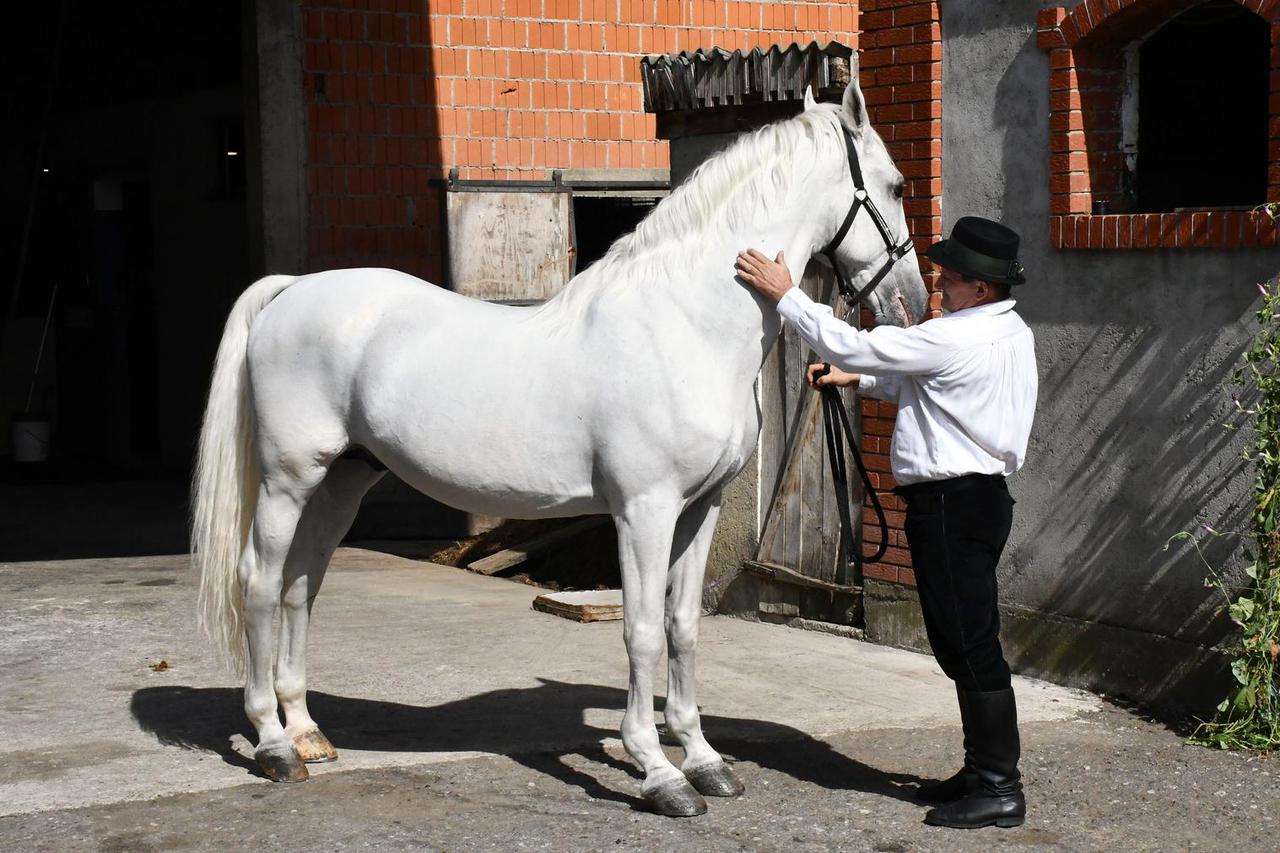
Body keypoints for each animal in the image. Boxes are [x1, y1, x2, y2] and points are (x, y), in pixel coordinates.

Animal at [192, 76, 921, 814]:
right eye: (894, 186)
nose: (910, 304)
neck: (685, 323)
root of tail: (291, 289)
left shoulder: (700, 508)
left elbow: (683, 625)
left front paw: (706, 760)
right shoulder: (644, 510)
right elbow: (642, 631)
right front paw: (658, 771)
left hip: (343, 479)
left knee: (300, 584)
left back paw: (307, 731)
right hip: (288, 480)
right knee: (260, 582)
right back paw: (274, 745)